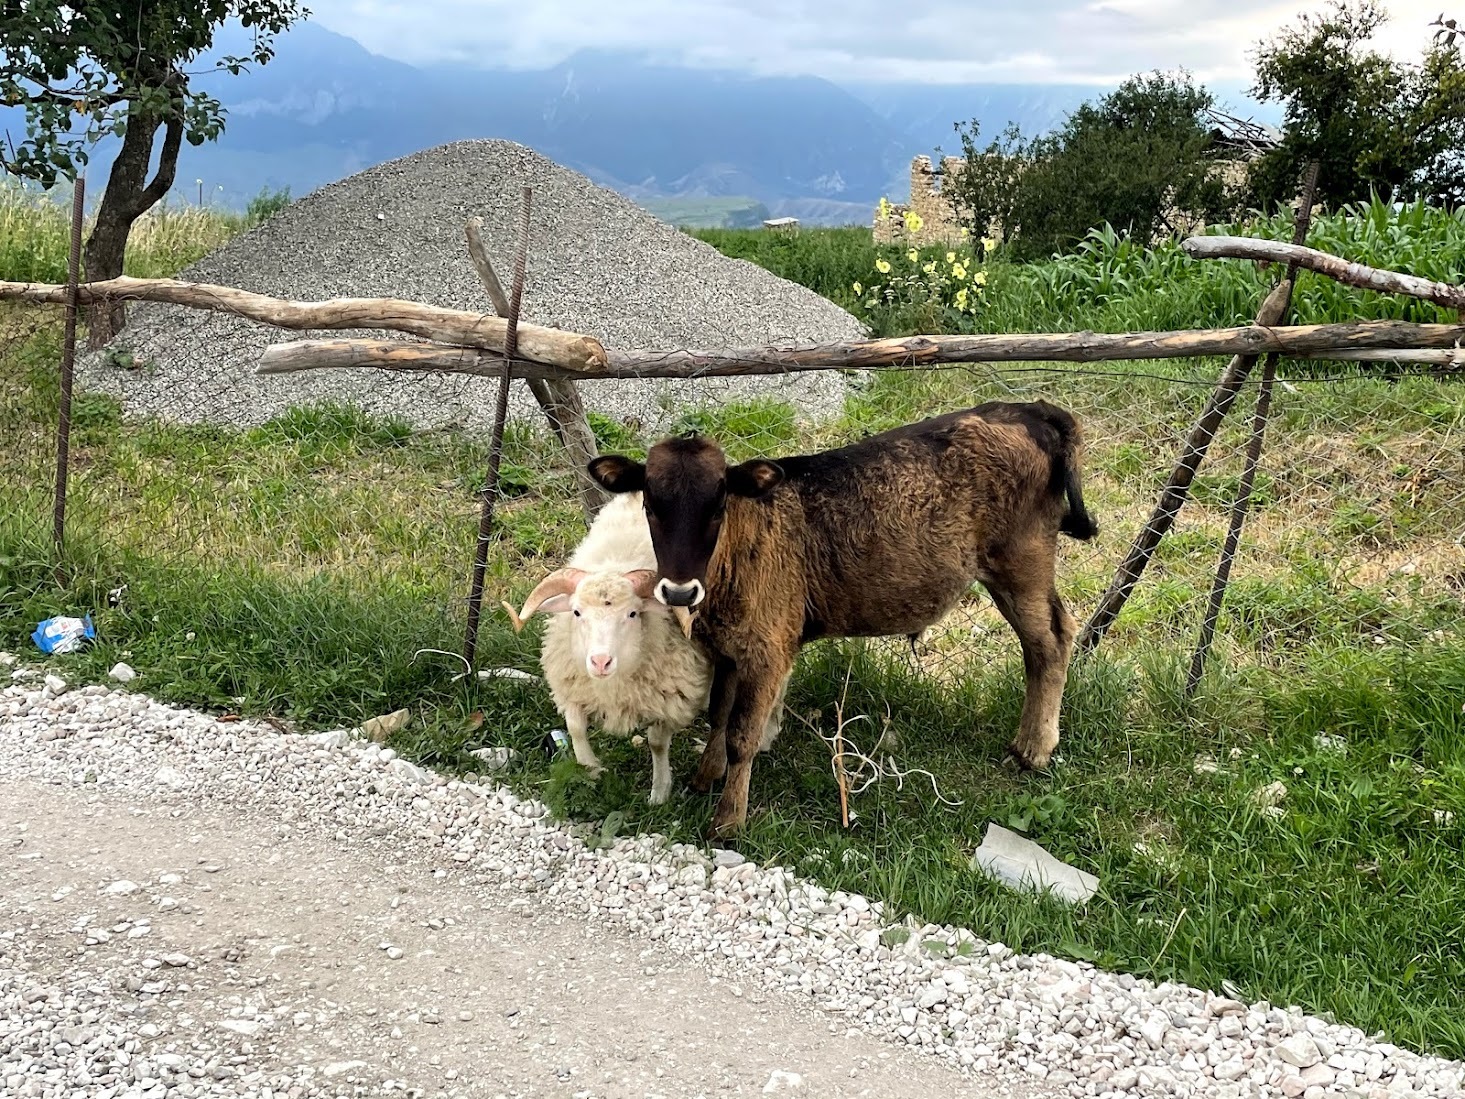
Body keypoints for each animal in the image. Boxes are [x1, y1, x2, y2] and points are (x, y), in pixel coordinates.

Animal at [501, 495, 711, 803]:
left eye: (633, 614)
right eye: (576, 612)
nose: (600, 662)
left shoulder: (670, 697)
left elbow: (657, 743)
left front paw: (659, 793)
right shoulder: (572, 684)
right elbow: (575, 727)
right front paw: (591, 770)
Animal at [588, 401, 1095, 838]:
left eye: (718, 506)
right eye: (650, 506)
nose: (678, 591)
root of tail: (1029, 409)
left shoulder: (768, 648)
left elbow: (741, 734)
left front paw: (728, 820)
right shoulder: (729, 649)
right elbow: (719, 716)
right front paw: (705, 777)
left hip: (1020, 561)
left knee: (1050, 640)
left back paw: (1033, 749)